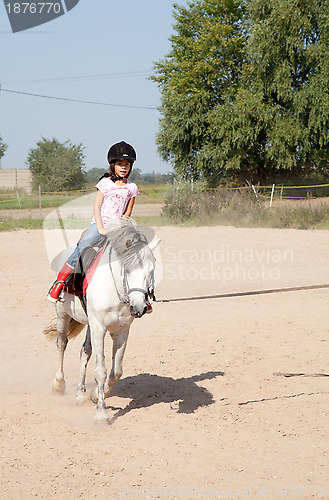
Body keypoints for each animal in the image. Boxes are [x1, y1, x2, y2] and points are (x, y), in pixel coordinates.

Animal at [44, 221, 158, 424]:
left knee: (85, 351)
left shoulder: (121, 330)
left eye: (151, 270)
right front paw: (101, 414)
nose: (138, 306)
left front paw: (96, 395)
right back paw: (58, 384)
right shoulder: (99, 327)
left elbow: (116, 371)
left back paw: (80, 393)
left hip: (89, 323)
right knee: (62, 344)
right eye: (127, 269)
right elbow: (101, 371)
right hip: (62, 314)